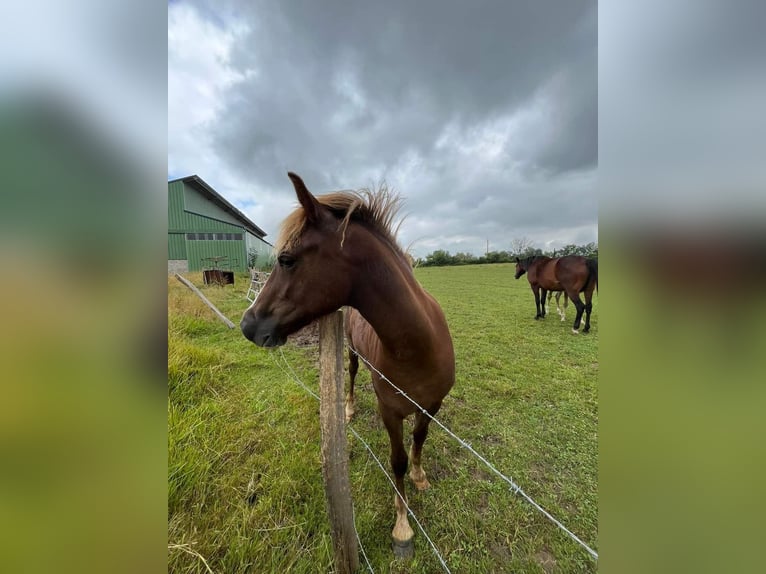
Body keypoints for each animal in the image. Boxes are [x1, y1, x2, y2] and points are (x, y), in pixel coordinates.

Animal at [242, 173, 456, 556]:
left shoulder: (432, 404)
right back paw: (349, 409)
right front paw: (402, 527)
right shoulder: (390, 411)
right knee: (353, 376)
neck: (420, 346)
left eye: (286, 259)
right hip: (354, 356)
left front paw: (420, 476)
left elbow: (420, 438)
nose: (247, 325)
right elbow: (397, 460)